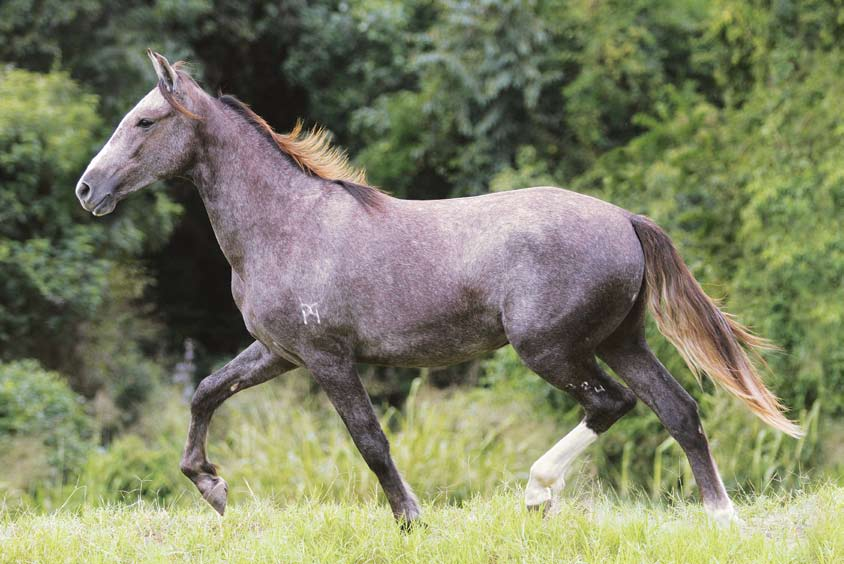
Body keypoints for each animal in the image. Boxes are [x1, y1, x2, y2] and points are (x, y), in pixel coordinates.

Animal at [76, 50, 800, 528]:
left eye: (144, 122)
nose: (87, 189)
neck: (285, 223)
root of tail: (624, 218)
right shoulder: (279, 353)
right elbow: (204, 392)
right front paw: (211, 487)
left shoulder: (327, 360)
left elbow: (371, 442)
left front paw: (412, 520)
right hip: (622, 340)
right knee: (679, 411)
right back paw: (721, 518)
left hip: (551, 348)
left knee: (612, 404)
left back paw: (537, 493)